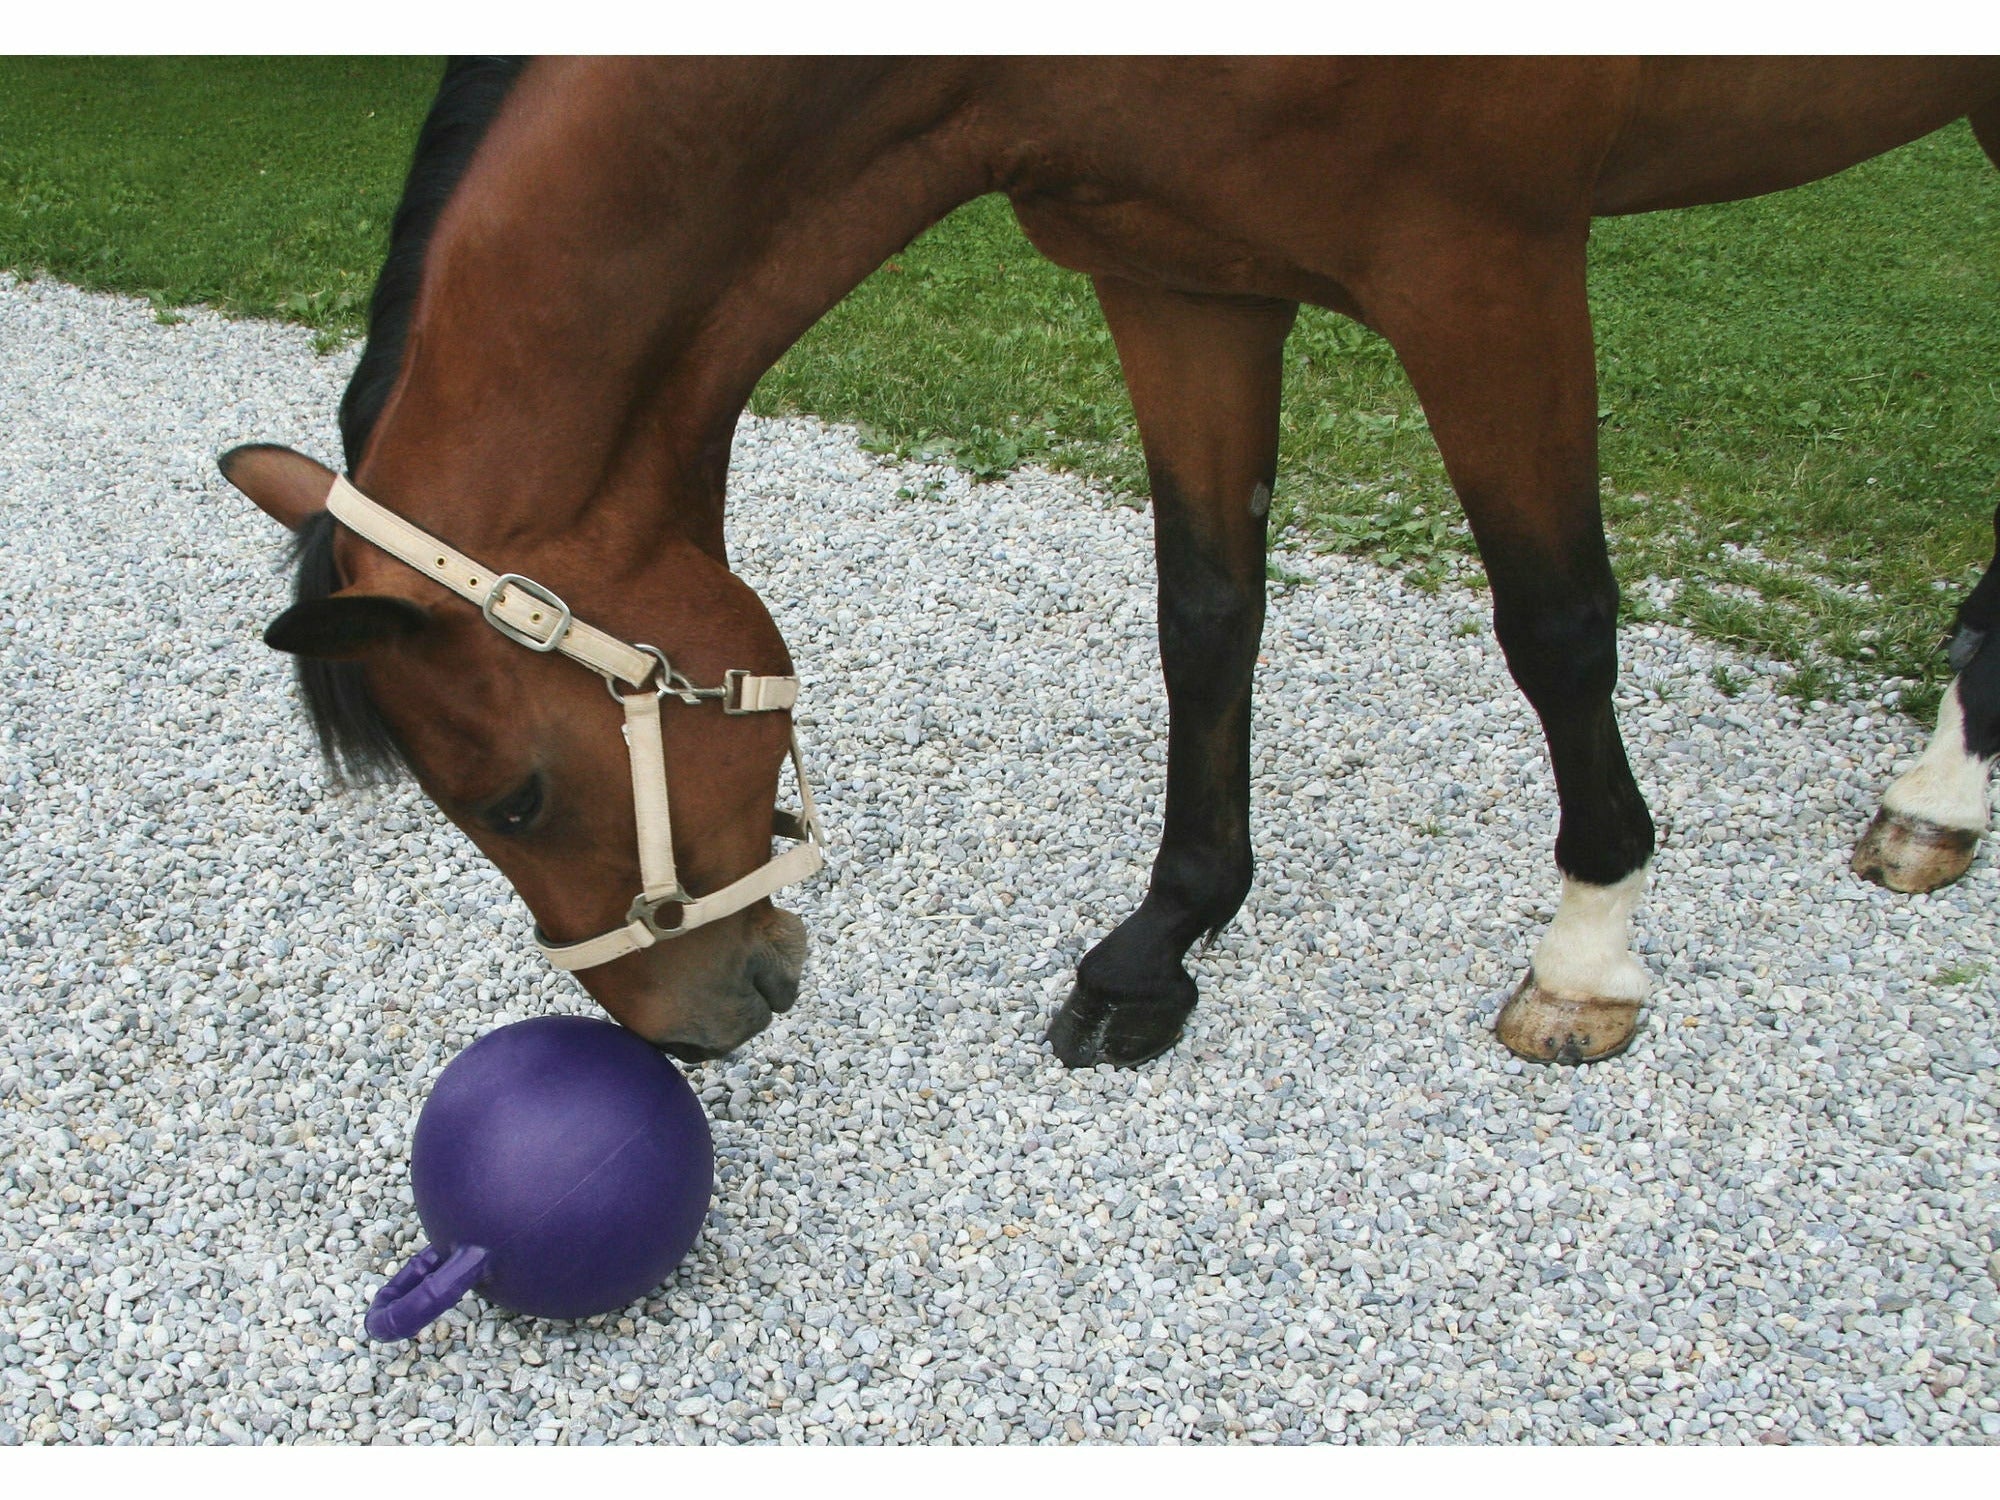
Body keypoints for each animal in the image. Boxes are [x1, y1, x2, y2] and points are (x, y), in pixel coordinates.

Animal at [218, 57, 2000, 1069]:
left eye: (516, 797)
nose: (690, 1031)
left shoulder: (1486, 263)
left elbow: (1555, 620)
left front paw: (1589, 952)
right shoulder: (1181, 276)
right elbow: (1206, 611)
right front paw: (1166, 941)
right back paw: (1944, 788)